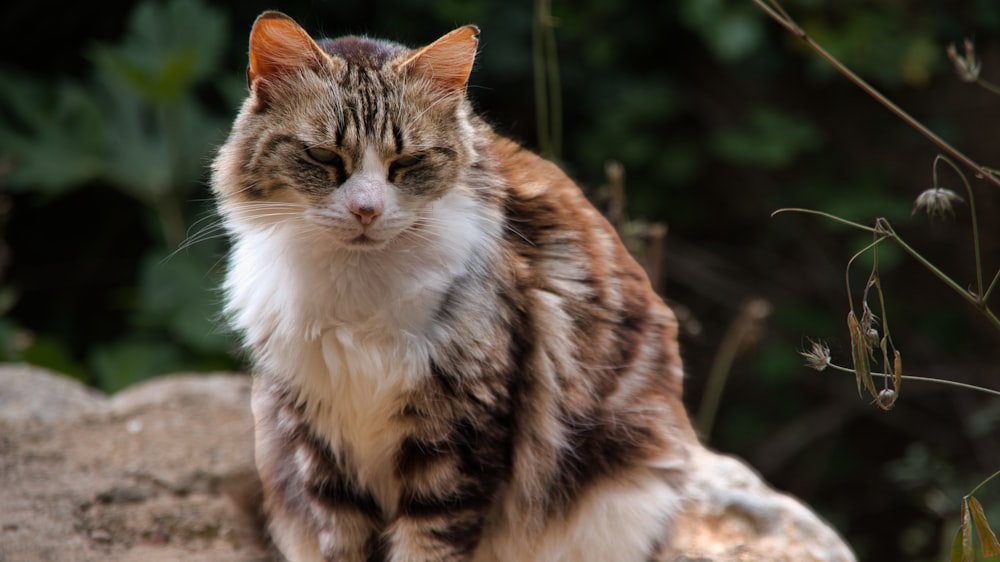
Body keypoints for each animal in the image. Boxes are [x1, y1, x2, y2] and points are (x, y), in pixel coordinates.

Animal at [211, 9, 696, 560]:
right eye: (325, 158)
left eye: (406, 164)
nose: (366, 210)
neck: (354, 285)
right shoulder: (320, 442)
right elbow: (344, 540)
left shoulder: (455, 437)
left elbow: (428, 543)